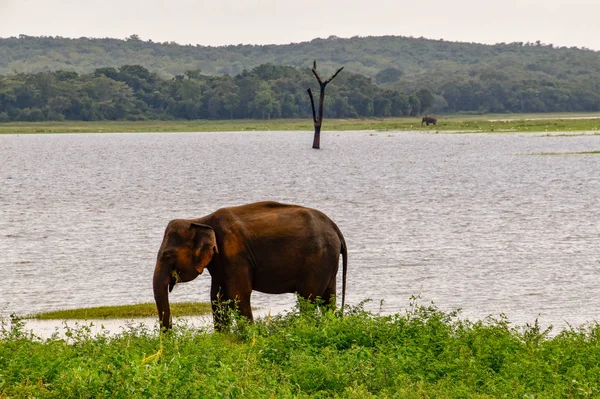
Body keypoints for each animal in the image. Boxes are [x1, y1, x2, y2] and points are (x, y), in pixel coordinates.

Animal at [152, 202, 346, 332]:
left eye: (168, 256)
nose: (169, 340)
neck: (200, 220)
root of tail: (335, 228)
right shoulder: (221, 262)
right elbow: (217, 297)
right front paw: (223, 337)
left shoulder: (234, 253)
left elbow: (237, 294)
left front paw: (249, 337)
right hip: (328, 262)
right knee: (328, 298)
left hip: (318, 259)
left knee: (308, 298)